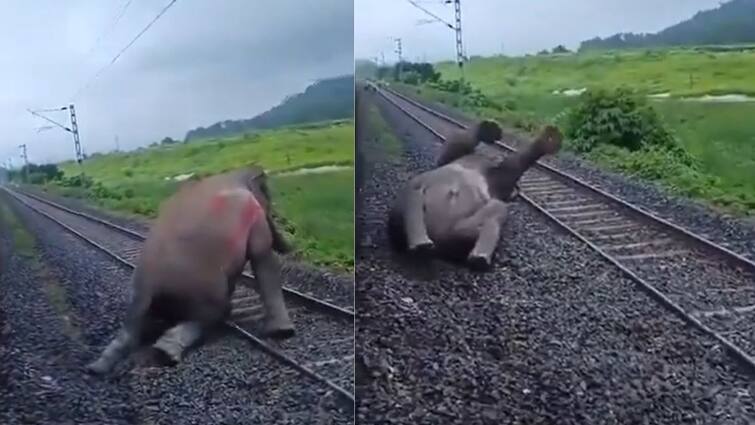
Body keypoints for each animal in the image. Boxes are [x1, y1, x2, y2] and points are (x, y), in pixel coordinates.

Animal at [84, 166, 294, 374]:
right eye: (269, 197)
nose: (291, 246)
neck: (235, 173)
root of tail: (148, 287)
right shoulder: (253, 213)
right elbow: (262, 257)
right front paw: (282, 333)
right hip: (200, 291)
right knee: (208, 315)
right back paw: (167, 354)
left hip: (142, 300)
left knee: (131, 331)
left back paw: (96, 368)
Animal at [390, 121, 560, 270]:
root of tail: (439, 240)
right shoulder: (458, 158)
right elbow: (455, 145)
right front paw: (489, 130)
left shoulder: (498, 181)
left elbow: (512, 167)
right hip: (411, 194)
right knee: (414, 195)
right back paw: (422, 242)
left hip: (460, 231)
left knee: (495, 211)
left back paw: (478, 256)